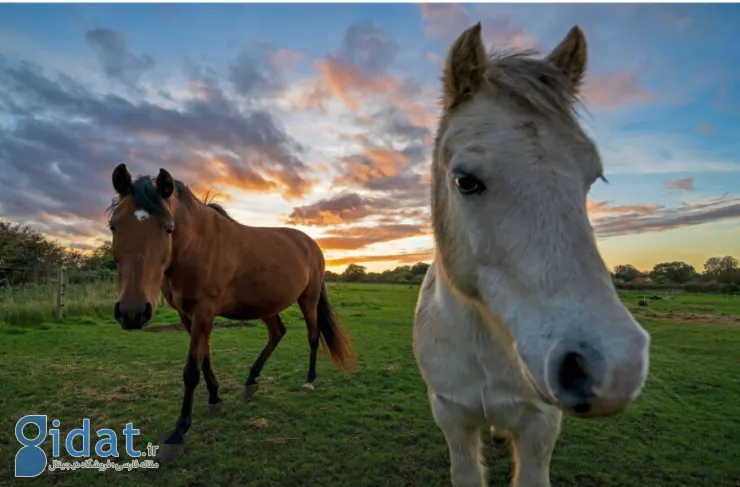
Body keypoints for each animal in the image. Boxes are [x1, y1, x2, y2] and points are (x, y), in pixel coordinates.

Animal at [106, 164, 356, 462]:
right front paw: (215, 399)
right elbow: (204, 359)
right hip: (266, 304)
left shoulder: (205, 311)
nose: (132, 313)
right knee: (277, 333)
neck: (197, 245)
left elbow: (192, 369)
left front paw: (178, 433)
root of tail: (311, 244)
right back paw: (251, 381)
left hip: (308, 298)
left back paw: (308, 381)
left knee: (313, 335)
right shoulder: (187, 315)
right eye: (113, 226)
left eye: (168, 228)